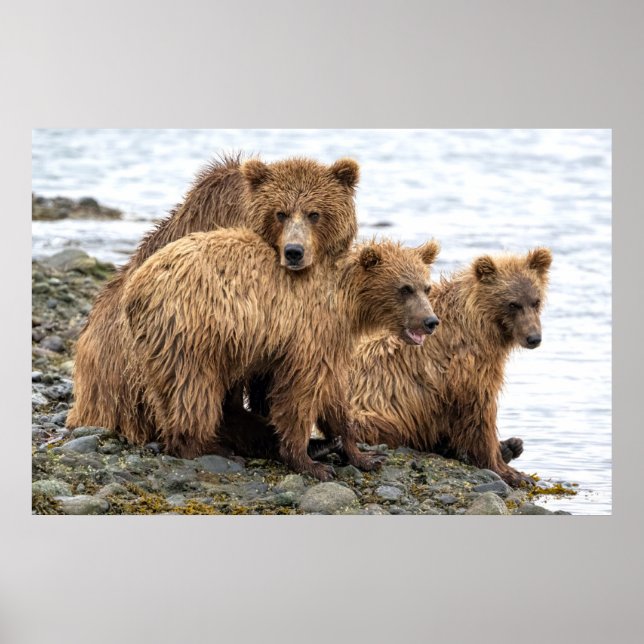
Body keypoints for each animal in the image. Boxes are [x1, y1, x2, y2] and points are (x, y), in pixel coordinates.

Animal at [121, 230, 441, 480]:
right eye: (405, 288)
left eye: (426, 287)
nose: (431, 321)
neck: (347, 304)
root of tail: (134, 287)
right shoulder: (310, 332)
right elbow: (300, 393)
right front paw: (309, 463)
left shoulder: (332, 342)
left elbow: (335, 395)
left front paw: (362, 455)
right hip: (191, 331)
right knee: (192, 390)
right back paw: (209, 447)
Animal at [349, 247, 552, 487]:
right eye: (512, 304)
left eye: (535, 301)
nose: (534, 338)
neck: (481, 325)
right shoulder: (465, 367)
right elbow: (479, 413)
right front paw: (511, 472)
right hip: (371, 410)